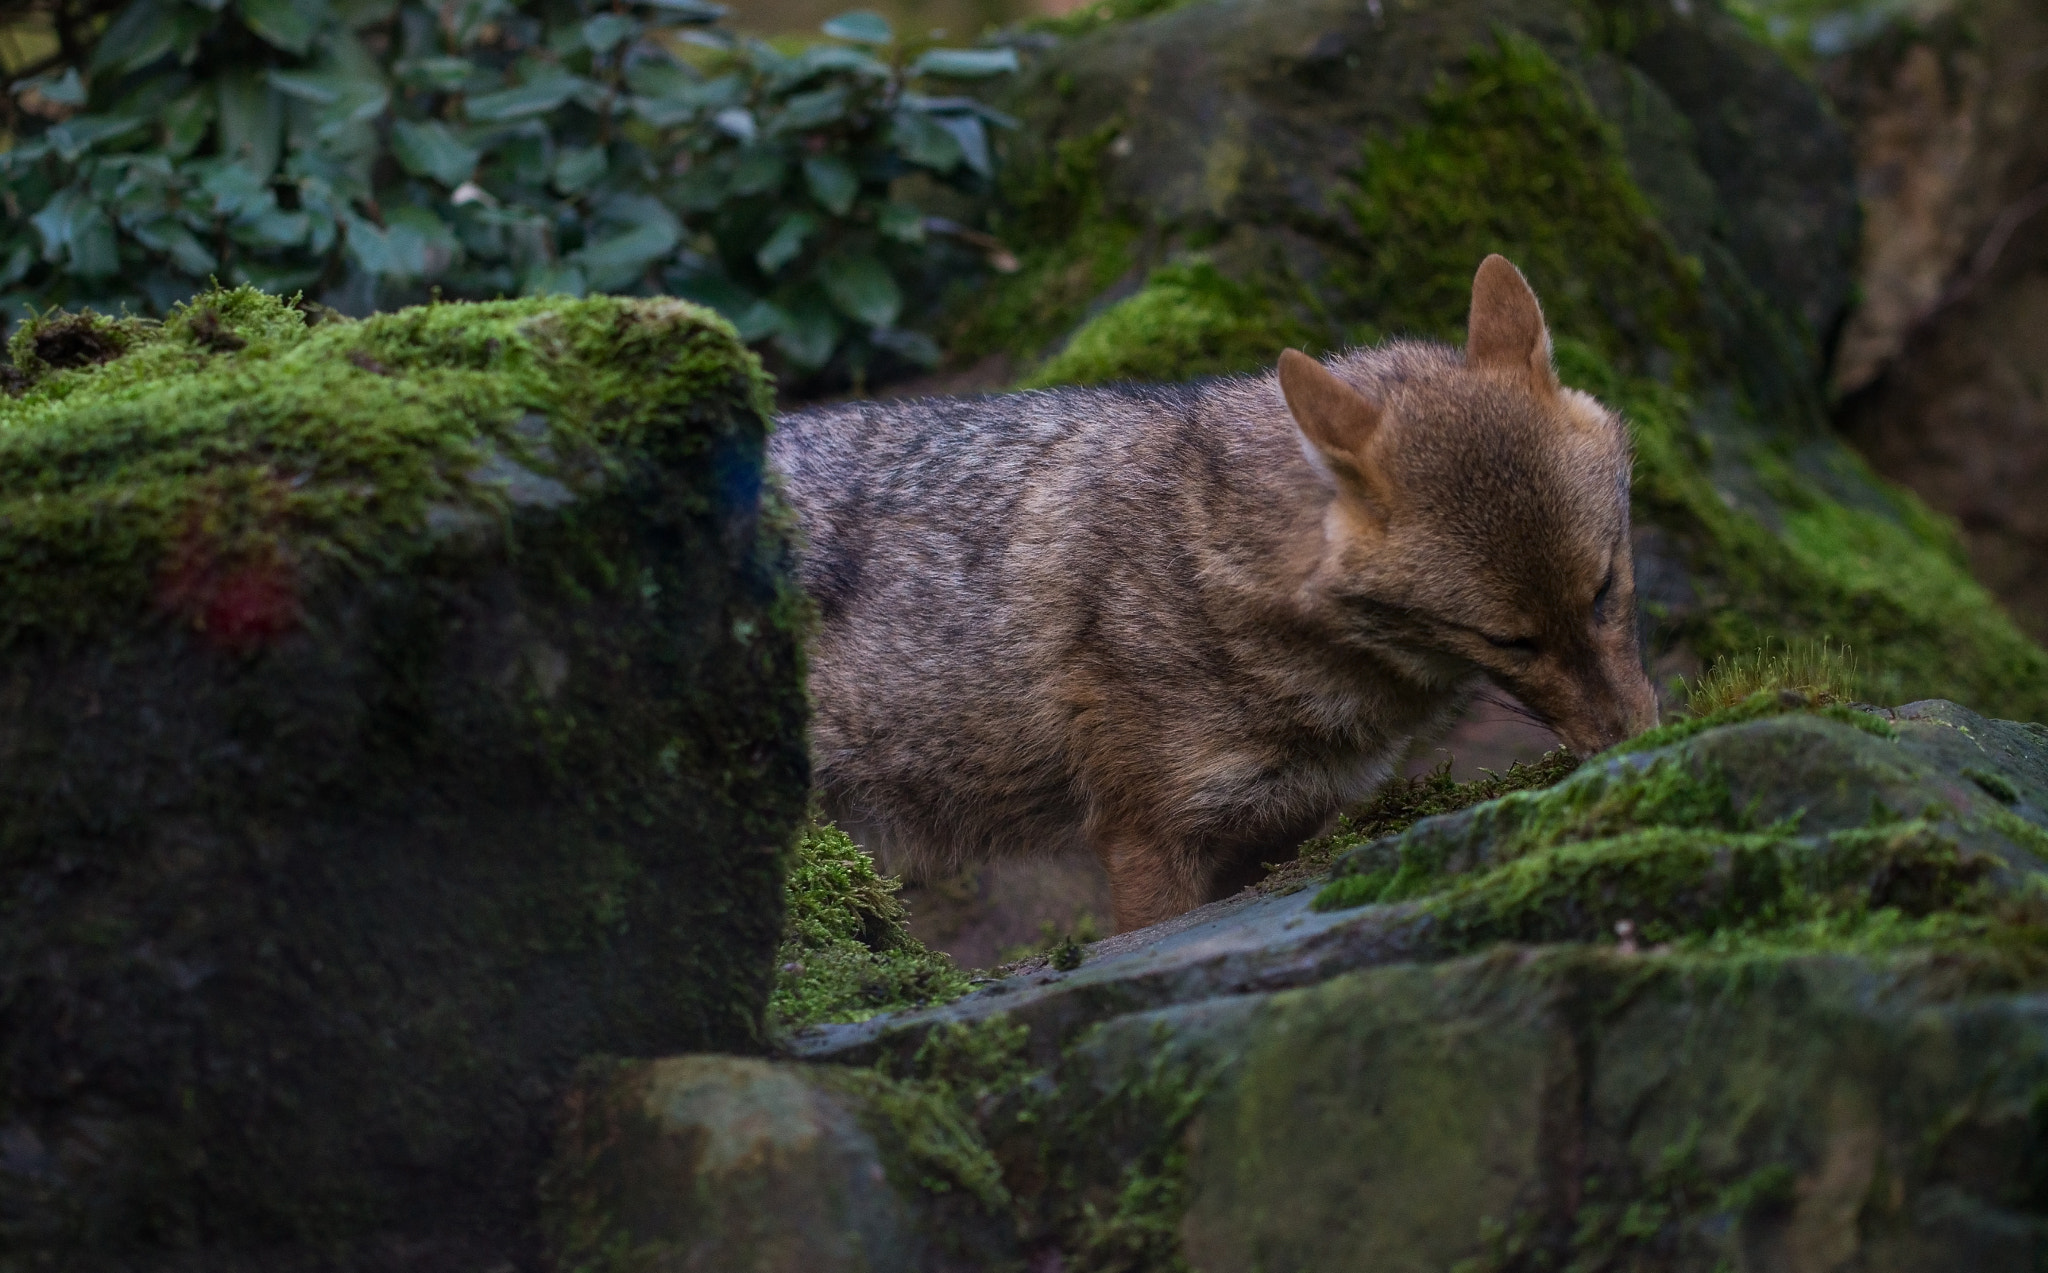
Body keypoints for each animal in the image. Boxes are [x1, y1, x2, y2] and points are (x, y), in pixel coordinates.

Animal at [770, 254, 1662, 933]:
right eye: (1511, 640)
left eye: (1603, 590)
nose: (1631, 742)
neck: (1207, 557)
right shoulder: (1147, 839)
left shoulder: (1275, 830)